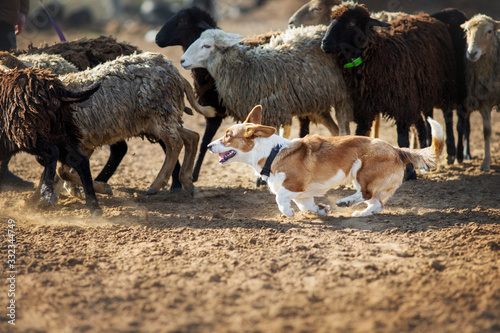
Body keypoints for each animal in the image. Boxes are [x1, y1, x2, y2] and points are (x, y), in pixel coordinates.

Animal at [0, 68, 102, 217]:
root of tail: (54, 89)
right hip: (62, 132)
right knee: (80, 161)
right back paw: (94, 207)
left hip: (29, 133)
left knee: (52, 152)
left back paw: (47, 193)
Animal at [57, 52, 216, 196]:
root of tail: (174, 72)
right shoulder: (85, 142)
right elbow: (66, 170)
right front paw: (86, 189)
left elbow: (64, 171)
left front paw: (102, 188)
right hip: (155, 120)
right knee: (192, 136)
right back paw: (187, 181)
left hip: (160, 113)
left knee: (175, 143)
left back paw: (156, 185)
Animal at [209, 105, 444, 217]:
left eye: (228, 136)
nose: (209, 146)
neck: (272, 152)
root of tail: (397, 149)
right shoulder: (302, 195)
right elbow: (306, 206)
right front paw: (320, 210)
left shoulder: (293, 185)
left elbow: (280, 198)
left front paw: (288, 213)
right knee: (377, 204)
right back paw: (359, 212)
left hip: (360, 170)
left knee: (366, 194)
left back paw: (345, 201)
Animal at [320, 2, 458, 179]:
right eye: (332, 19)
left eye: (351, 23)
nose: (324, 43)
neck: (376, 56)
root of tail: (425, 16)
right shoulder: (365, 109)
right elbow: (361, 135)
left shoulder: (402, 105)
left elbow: (402, 140)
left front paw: (409, 174)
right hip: (418, 95)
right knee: (421, 125)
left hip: (444, 86)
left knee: (447, 116)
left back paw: (451, 154)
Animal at [460, 14, 500, 171]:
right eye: (466, 31)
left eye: (489, 31)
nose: (472, 53)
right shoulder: (483, 102)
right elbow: (487, 132)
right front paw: (486, 163)